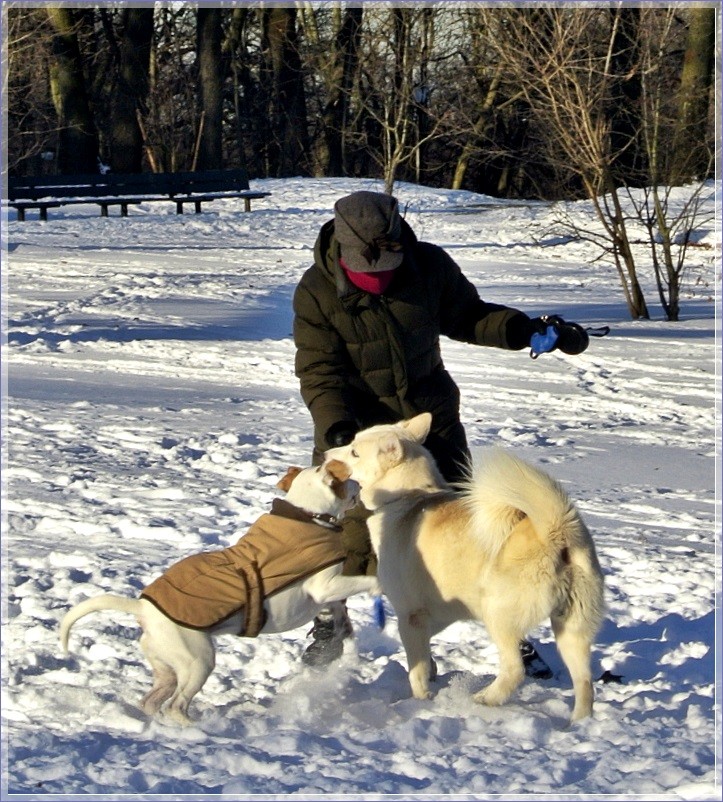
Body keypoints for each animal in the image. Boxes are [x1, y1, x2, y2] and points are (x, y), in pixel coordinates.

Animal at [60, 460, 378, 720]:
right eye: (348, 480)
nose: (360, 484)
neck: (307, 515)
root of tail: (144, 610)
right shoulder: (324, 586)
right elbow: (361, 583)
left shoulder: (329, 595)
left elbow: (337, 609)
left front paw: (343, 631)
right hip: (198, 661)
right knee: (176, 707)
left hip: (166, 667)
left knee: (152, 700)